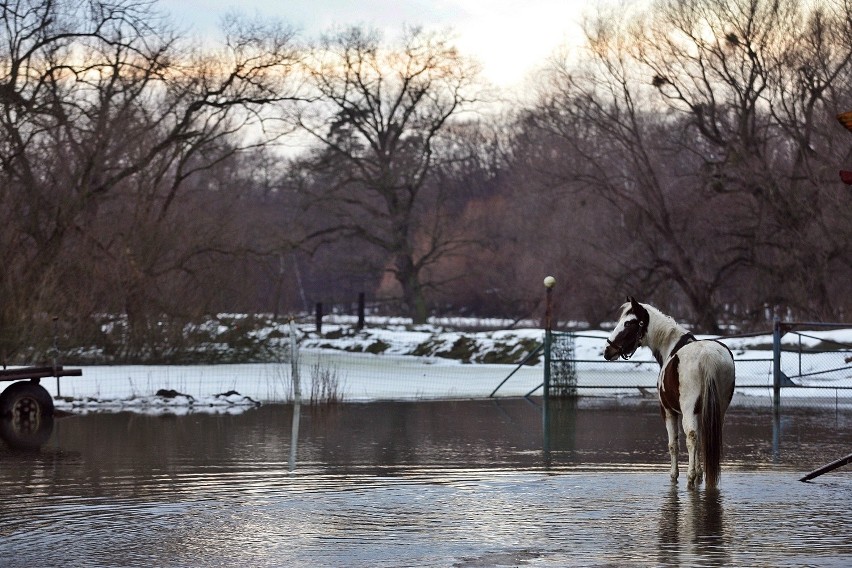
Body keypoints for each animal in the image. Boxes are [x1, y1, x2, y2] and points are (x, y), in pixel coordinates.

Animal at [604, 298, 736, 488]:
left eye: (628, 323)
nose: (608, 351)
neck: (671, 348)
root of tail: (707, 355)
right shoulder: (701, 412)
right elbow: (701, 439)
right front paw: (699, 474)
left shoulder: (668, 411)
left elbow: (673, 444)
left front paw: (676, 475)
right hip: (719, 409)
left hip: (687, 410)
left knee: (691, 437)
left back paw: (689, 478)